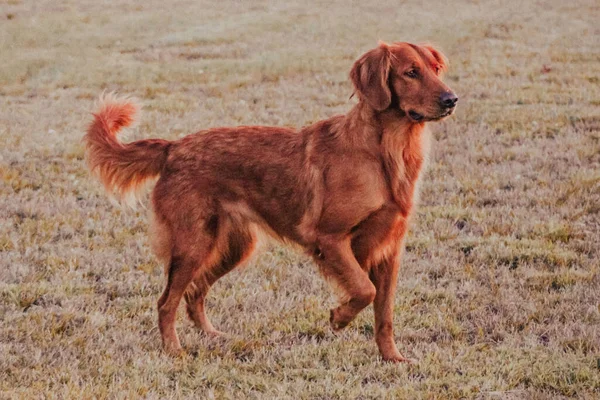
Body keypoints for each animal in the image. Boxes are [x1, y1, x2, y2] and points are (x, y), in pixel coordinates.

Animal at [84, 41, 458, 362]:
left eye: (436, 69)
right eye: (411, 72)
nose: (452, 99)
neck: (386, 151)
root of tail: (173, 147)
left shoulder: (389, 251)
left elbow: (384, 313)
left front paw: (391, 357)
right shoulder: (330, 239)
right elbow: (363, 290)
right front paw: (339, 318)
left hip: (233, 247)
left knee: (194, 293)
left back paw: (212, 335)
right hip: (193, 246)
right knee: (166, 301)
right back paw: (174, 350)